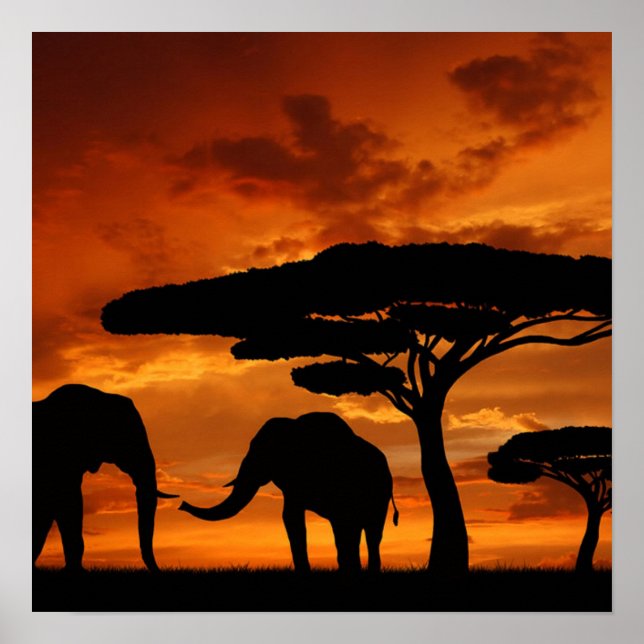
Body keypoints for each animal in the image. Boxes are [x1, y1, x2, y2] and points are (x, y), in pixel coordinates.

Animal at [179, 412, 398, 573]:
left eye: (260, 450)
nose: (182, 504)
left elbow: (302, 518)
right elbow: (292, 517)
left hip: (379, 493)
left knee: (368, 531)